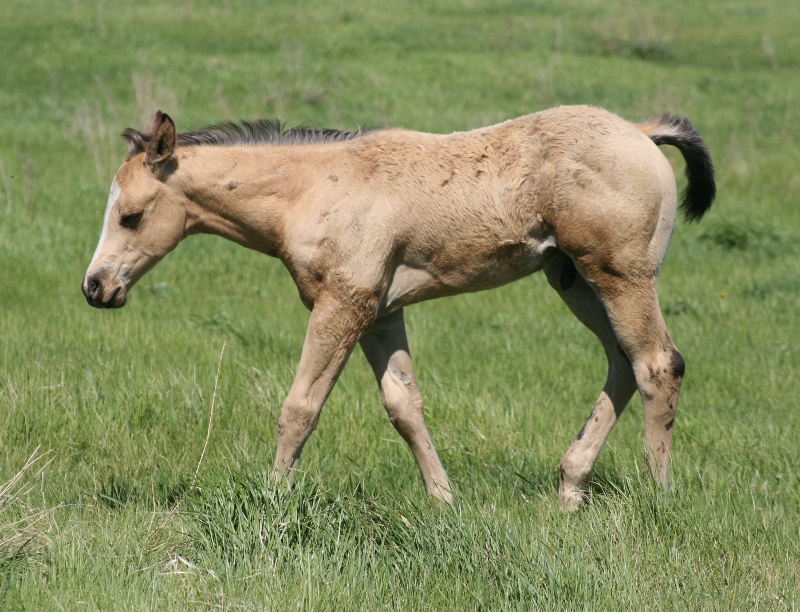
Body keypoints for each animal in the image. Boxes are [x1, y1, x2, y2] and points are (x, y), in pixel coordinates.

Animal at [84, 107, 716, 510]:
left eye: (131, 216)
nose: (95, 287)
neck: (313, 189)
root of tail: (641, 132)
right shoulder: (381, 313)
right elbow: (403, 405)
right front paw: (445, 502)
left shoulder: (343, 305)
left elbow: (300, 408)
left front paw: (272, 501)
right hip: (575, 280)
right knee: (622, 362)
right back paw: (570, 490)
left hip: (619, 276)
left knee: (658, 363)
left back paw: (658, 498)